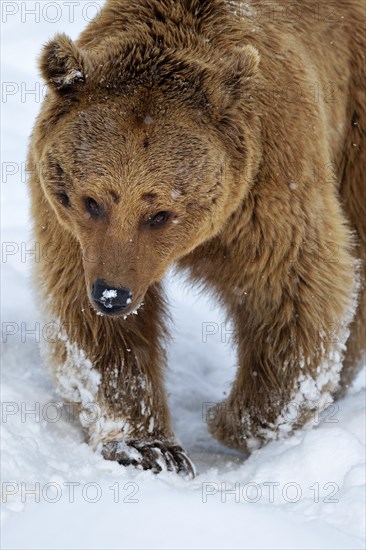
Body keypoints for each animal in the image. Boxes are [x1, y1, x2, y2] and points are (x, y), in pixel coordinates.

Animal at [29, 0, 366, 476]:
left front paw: (233, 419)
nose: (113, 296)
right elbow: (91, 328)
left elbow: (292, 291)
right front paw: (147, 447)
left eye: (160, 214)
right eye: (92, 201)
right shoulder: (71, 229)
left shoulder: (266, 190)